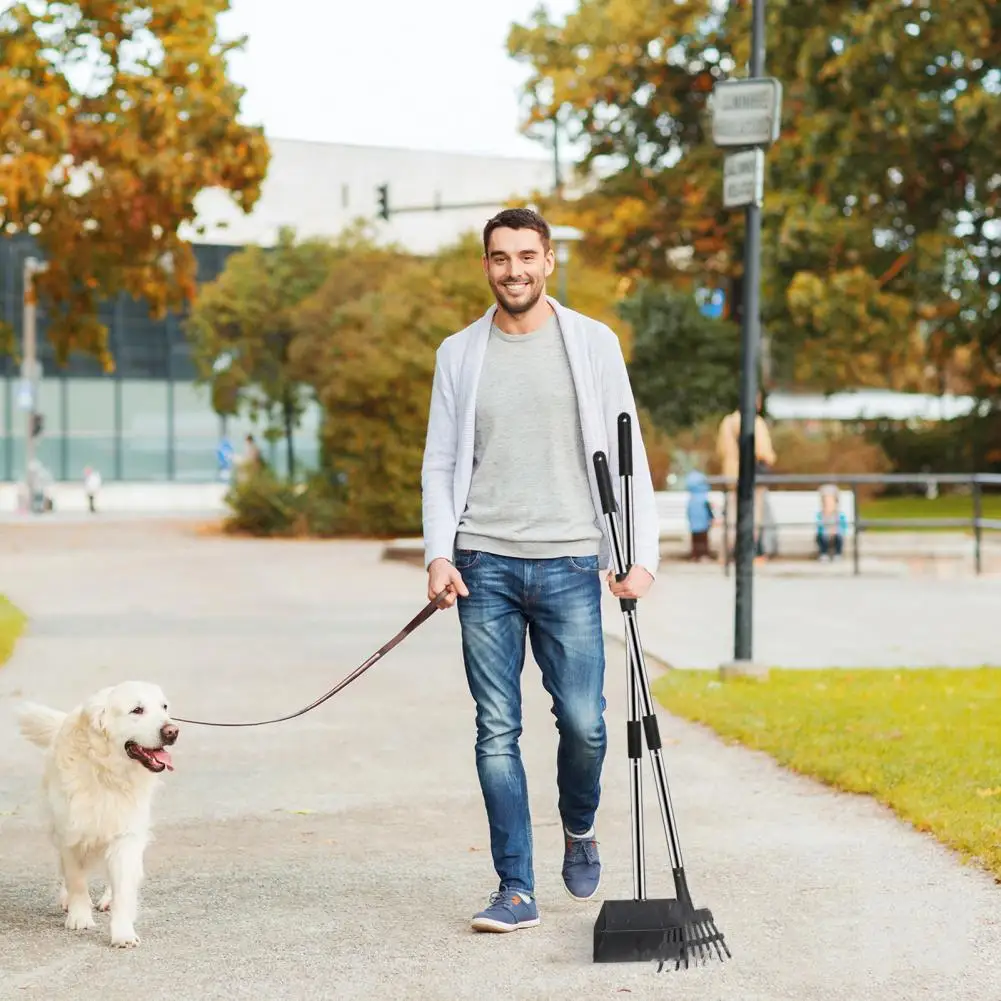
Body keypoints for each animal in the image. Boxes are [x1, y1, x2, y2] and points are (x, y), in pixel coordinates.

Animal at [15, 680, 178, 944]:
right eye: (137, 710)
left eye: (164, 707)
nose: (172, 731)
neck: (107, 771)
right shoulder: (70, 831)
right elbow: (76, 880)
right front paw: (79, 917)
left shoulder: (126, 833)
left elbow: (123, 886)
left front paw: (123, 932)